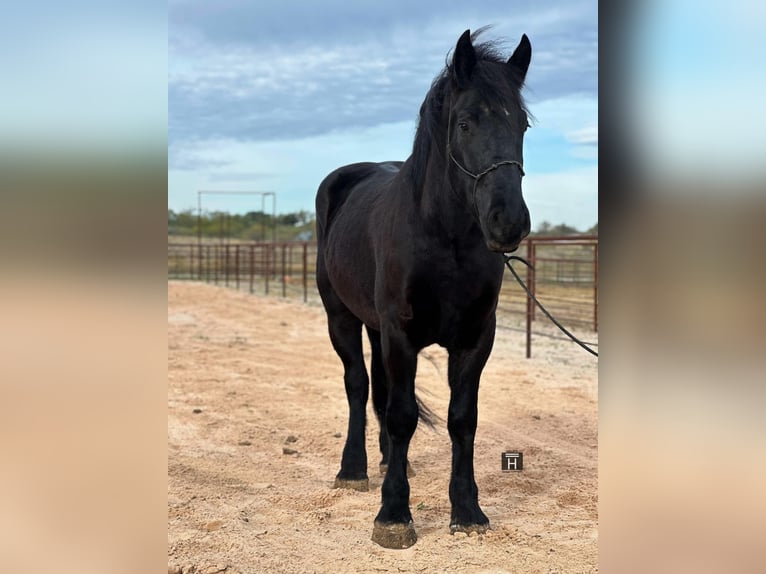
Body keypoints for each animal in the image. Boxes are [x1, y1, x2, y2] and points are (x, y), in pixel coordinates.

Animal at [318, 30, 536, 548]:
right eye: (465, 122)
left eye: (521, 124)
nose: (508, 222)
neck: (444, 238)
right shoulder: (401, 334)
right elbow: (402, 416)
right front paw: (394, 515)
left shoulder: (475, 338)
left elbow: (462, 418)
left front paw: (468, 510)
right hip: (341, 318)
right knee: (358, 385)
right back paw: (354, 470)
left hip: (376, 328)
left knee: (378, 390)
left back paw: (384, 462)